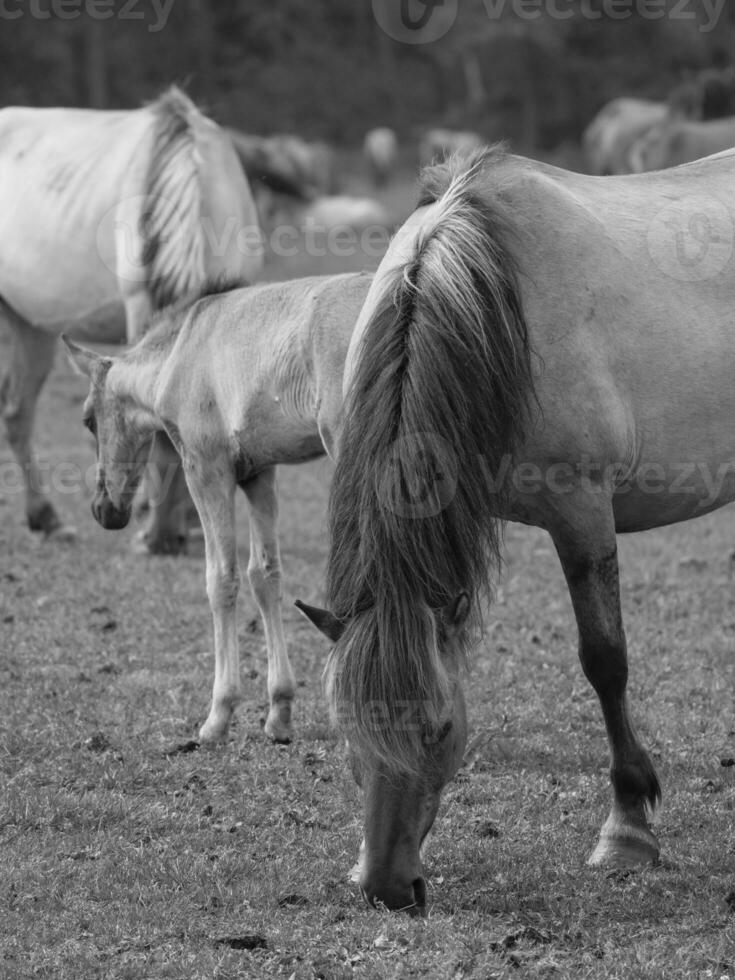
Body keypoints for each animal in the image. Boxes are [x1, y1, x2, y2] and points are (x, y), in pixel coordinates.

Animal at [63, 272, 374, 748]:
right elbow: (264, 575)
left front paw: (218, 715)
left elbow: (220, 579)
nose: (104, 510)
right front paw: (279, 713)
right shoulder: (258, 473)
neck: (180, 352)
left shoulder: (206, 468)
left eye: (88, 420)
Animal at [296, 149, 735, 916]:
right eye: (346, 733)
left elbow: (605, 661)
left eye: (440, 729)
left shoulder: (582, 512)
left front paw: (627, 831)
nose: (387, 889)